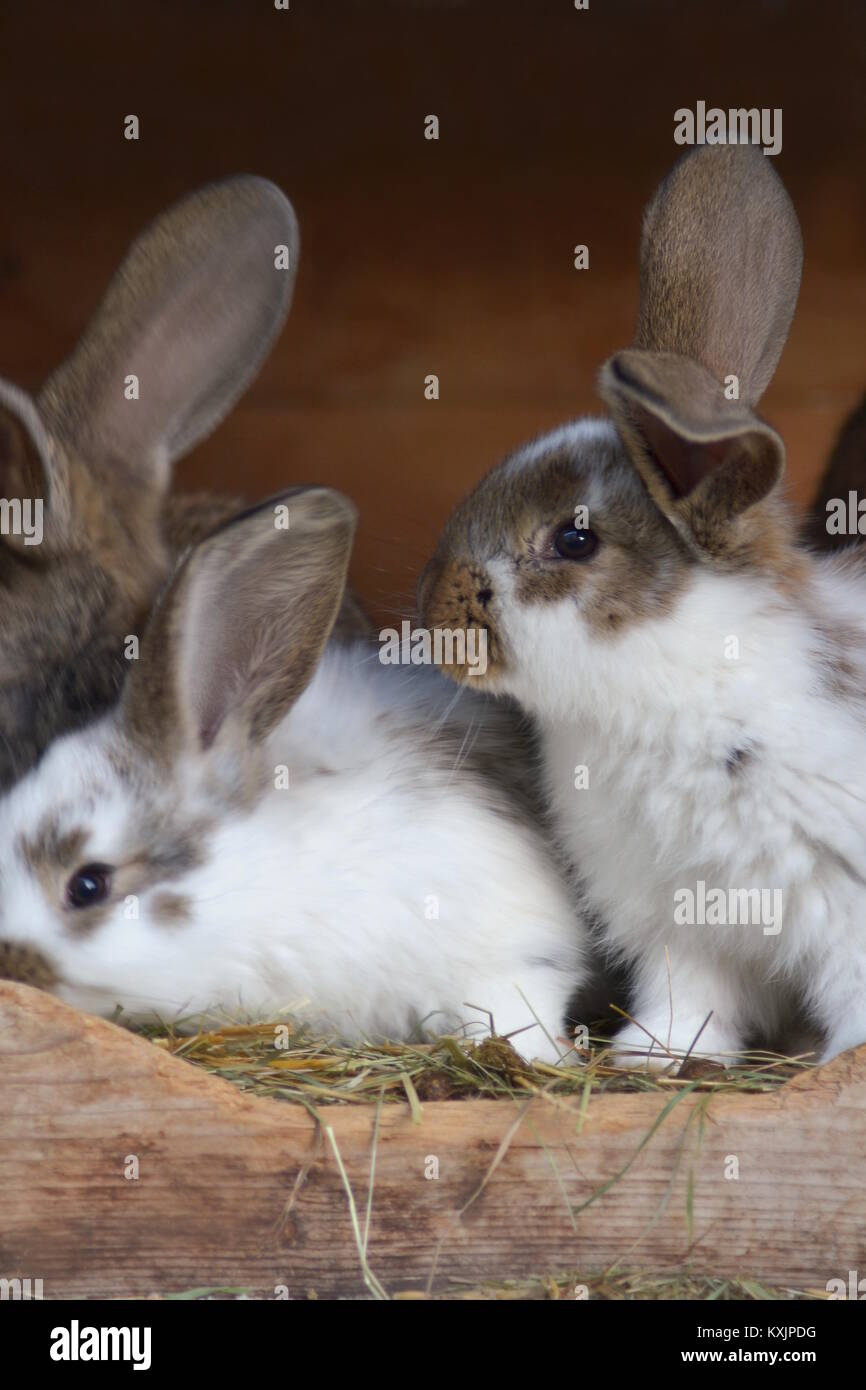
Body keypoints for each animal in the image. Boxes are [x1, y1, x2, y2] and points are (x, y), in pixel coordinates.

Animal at [419, 142, 866, 1068]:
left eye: (574, 539)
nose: (438, 624)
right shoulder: (679, 923)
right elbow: (687, 995)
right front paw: (656, 1056)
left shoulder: (841, 908)